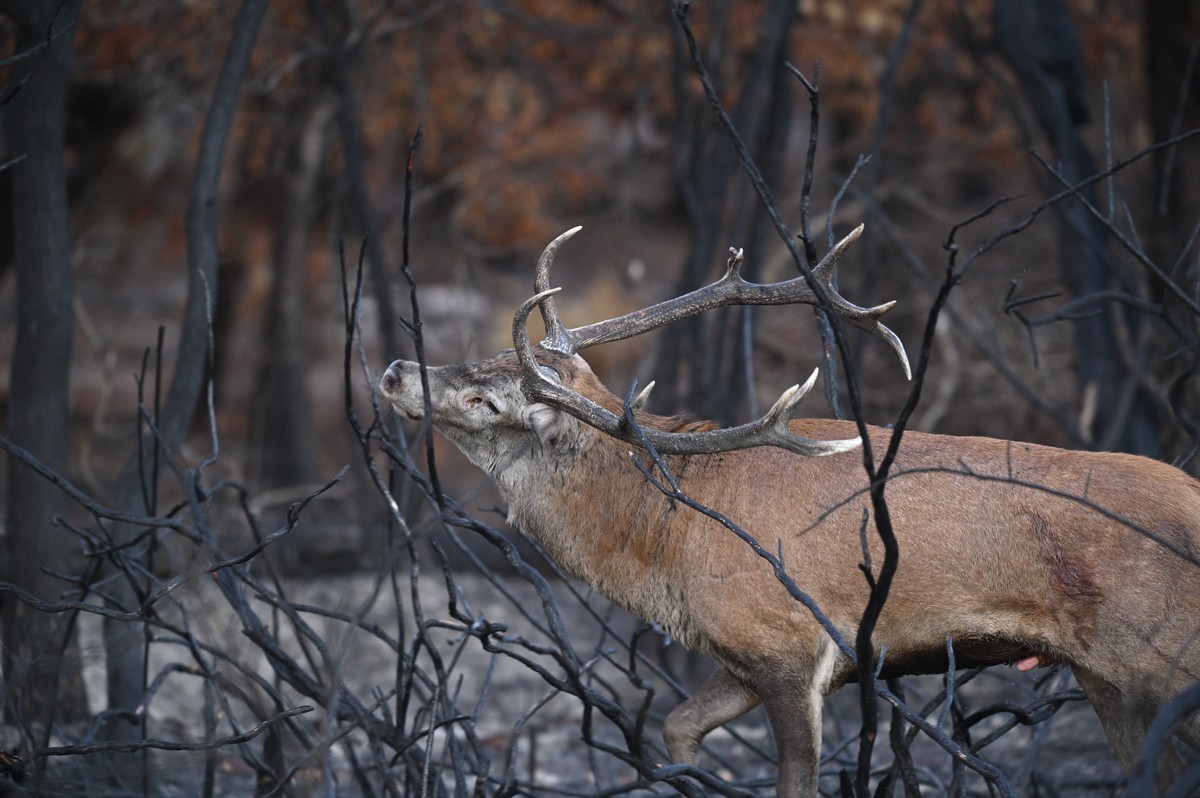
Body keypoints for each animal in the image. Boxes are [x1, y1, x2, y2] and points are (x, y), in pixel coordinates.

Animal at [379, 226, 1200, 797]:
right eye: (480, 363)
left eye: (487, 400)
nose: (393, 369)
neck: (668, 540)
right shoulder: (738, 655)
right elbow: (674, 726)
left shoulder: (791, 648)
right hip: (1103, 675)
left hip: (1155, 661)